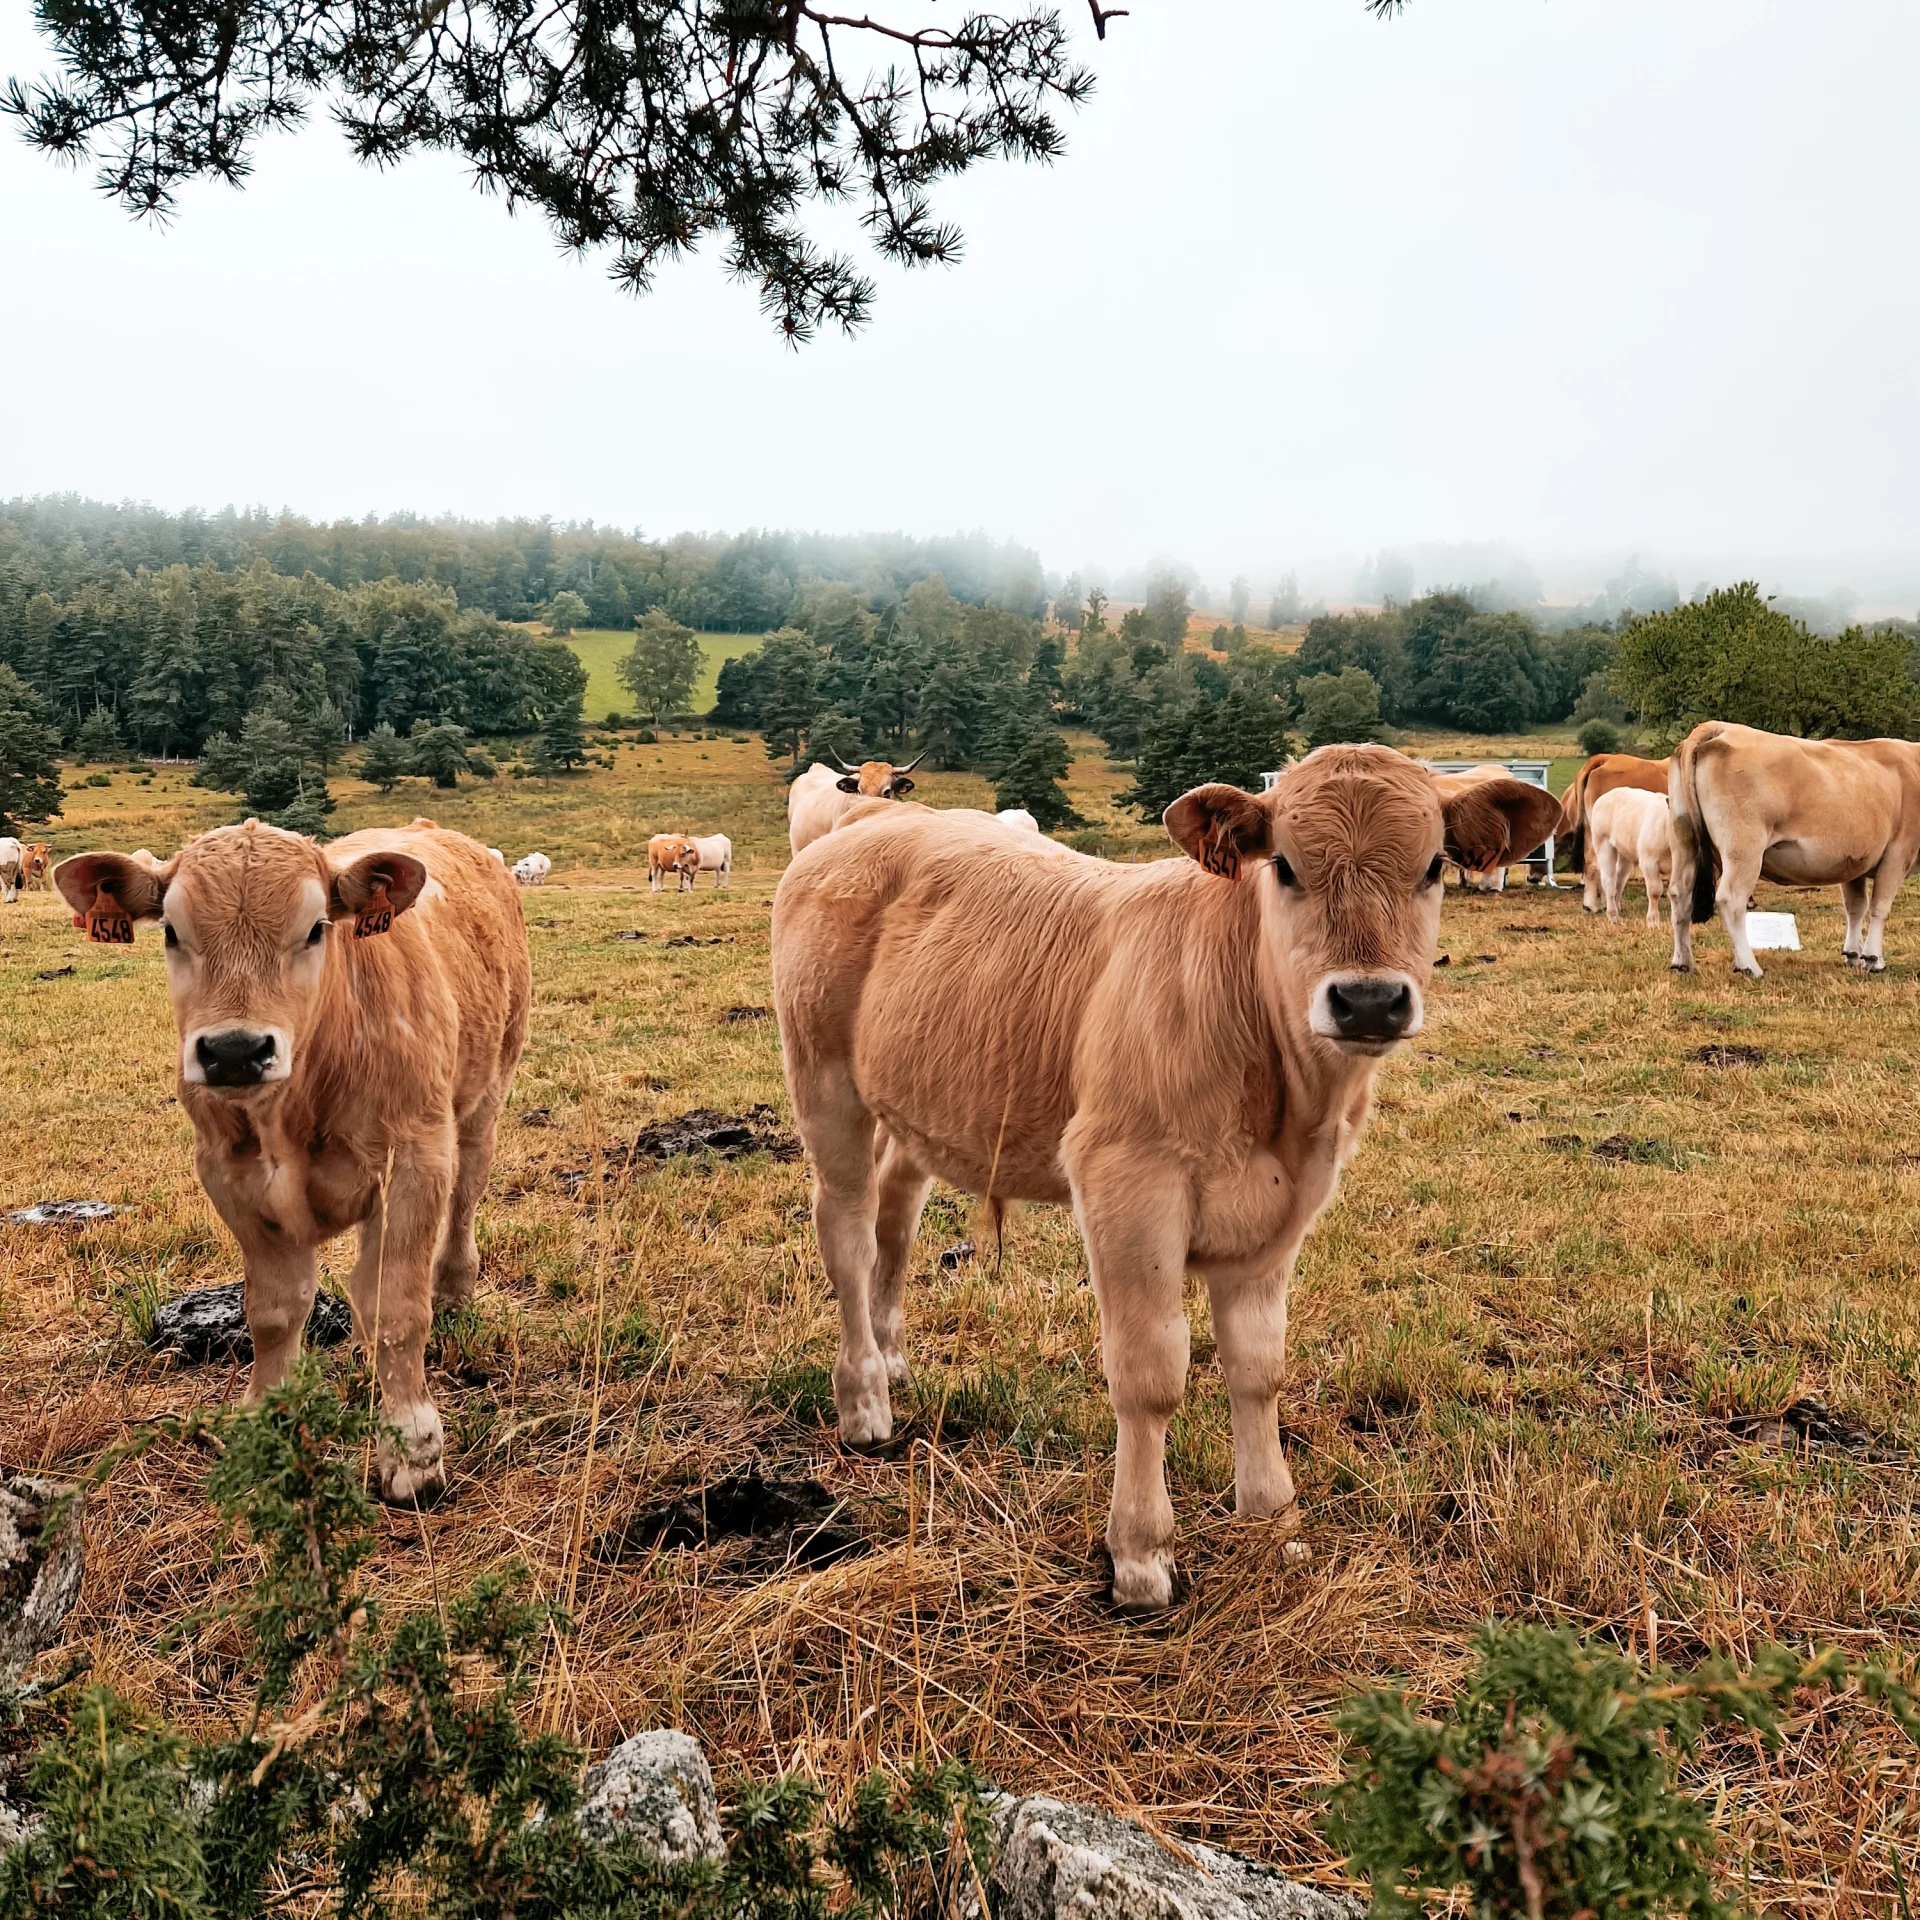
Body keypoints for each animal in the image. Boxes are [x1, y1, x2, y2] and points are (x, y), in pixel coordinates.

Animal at [54, 817, 533, 1505]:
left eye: (315, 928)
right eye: (171, 931)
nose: (234, 1049)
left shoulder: (417, 1156)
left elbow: (398, 1305)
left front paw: (412, 1448)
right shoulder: (229, 1174)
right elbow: (276, 1310)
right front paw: (265, 1422)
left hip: (486, 1096)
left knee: (466, 1198)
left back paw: (453, 1286)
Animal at [1582, 783, 1674, 925]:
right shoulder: (1648, 862)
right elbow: (1655, 891)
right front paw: (1653, 921)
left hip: (1625, 853)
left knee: (1619, 880)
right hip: (1603, 844)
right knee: (1609, 880)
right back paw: (1612, 915)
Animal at [1666, 725, 1920, 983]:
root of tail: (1719, 727)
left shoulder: (1854, 862)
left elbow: (1856, 907)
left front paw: (1852, 955)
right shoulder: (1898, 854)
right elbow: (1880, 907)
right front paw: (1874, 959)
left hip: (1684, 839)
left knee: (1680, 895)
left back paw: (1682, 962)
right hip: (1743, 847)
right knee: (1731, 899)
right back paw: (1749, 966)